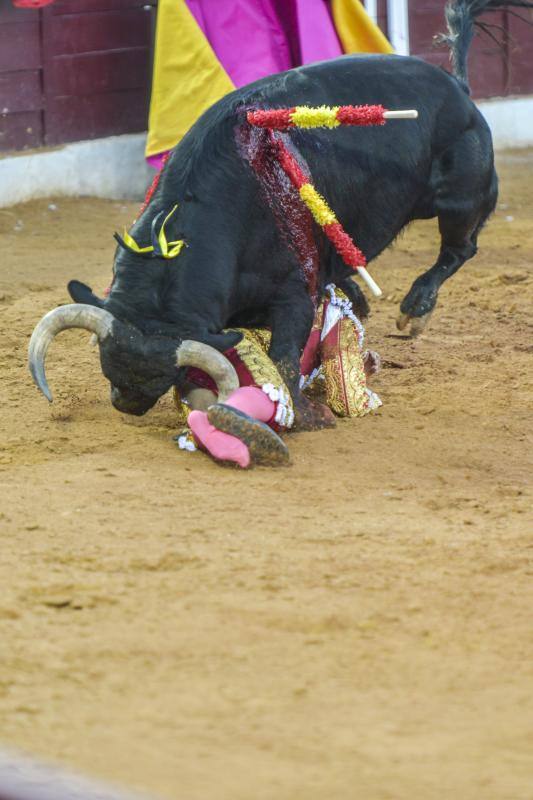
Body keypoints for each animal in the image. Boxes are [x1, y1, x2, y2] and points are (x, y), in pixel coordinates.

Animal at [28, 54, 494, 428]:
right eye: (107, 368)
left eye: (166, 375)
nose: (126, 405)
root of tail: (457, 86)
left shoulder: (293, 301)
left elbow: (285, 360)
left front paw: (306, 415)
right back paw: (357, 294)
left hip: (460, 197)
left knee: (461, 247)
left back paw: (415, 308)